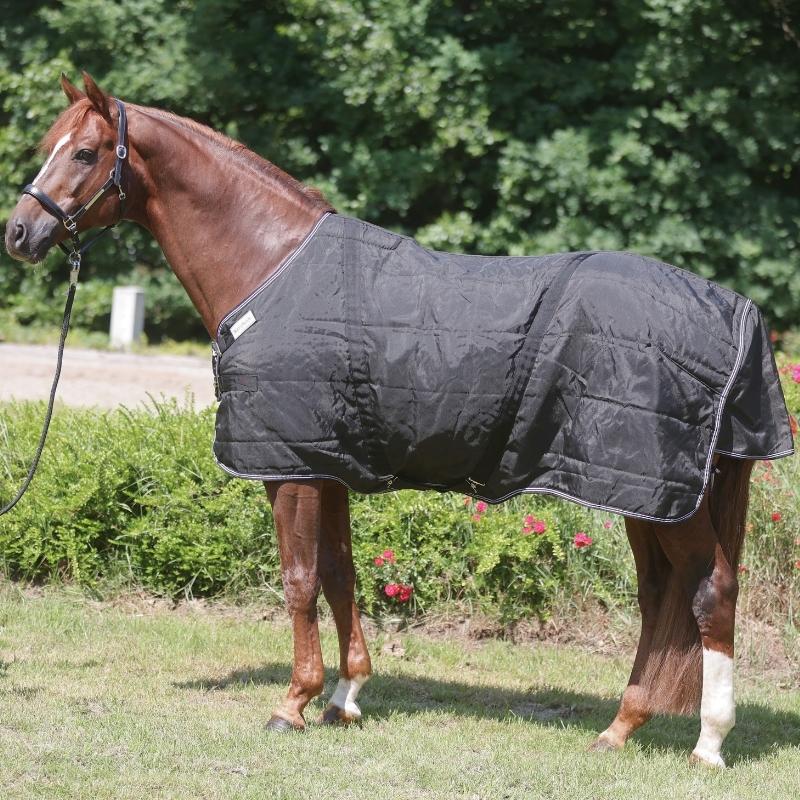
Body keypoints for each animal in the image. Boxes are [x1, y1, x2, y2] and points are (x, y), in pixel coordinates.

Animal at [4, 72, 793, 769]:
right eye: (50, 142)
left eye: (84, 152)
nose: (19, 232)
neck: (271, 266)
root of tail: (736, 313)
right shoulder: (328, 463)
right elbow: (340, 573)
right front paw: (345, 697)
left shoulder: (289, 467)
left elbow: (298, 578)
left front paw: (292, 704)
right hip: (643, 494)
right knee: (662, 596)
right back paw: (620, 728)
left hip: (655, 492)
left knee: (710, 590)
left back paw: (708, 743)